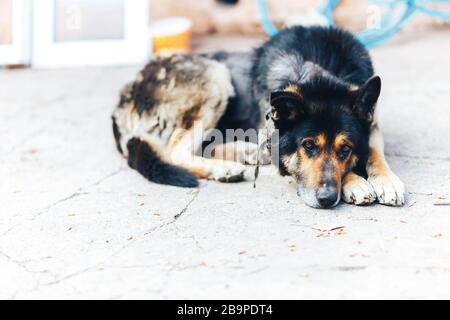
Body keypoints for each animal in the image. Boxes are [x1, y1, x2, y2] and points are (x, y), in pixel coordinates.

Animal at [113, 26, 408, 209]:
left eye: (345, 149)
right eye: (308, 146)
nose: (326, 199)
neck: (319, 69)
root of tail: (124, 97)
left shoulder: (373, 125)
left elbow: (374, 153)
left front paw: (386, 180)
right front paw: (356, 182)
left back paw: (247, 153)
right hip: (216, 75)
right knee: (176, 150)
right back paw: (224, 168)